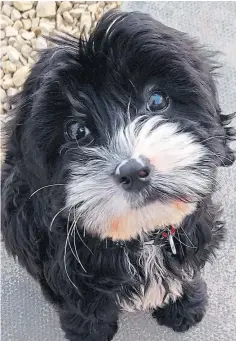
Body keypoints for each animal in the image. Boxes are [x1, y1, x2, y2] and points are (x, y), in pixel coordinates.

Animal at [1, 9, 236, 340]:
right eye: (77, 131)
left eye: (157, 100)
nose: (134, 171)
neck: (142, 236)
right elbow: (83, 306)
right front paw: (90, 332)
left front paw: (186, 305)